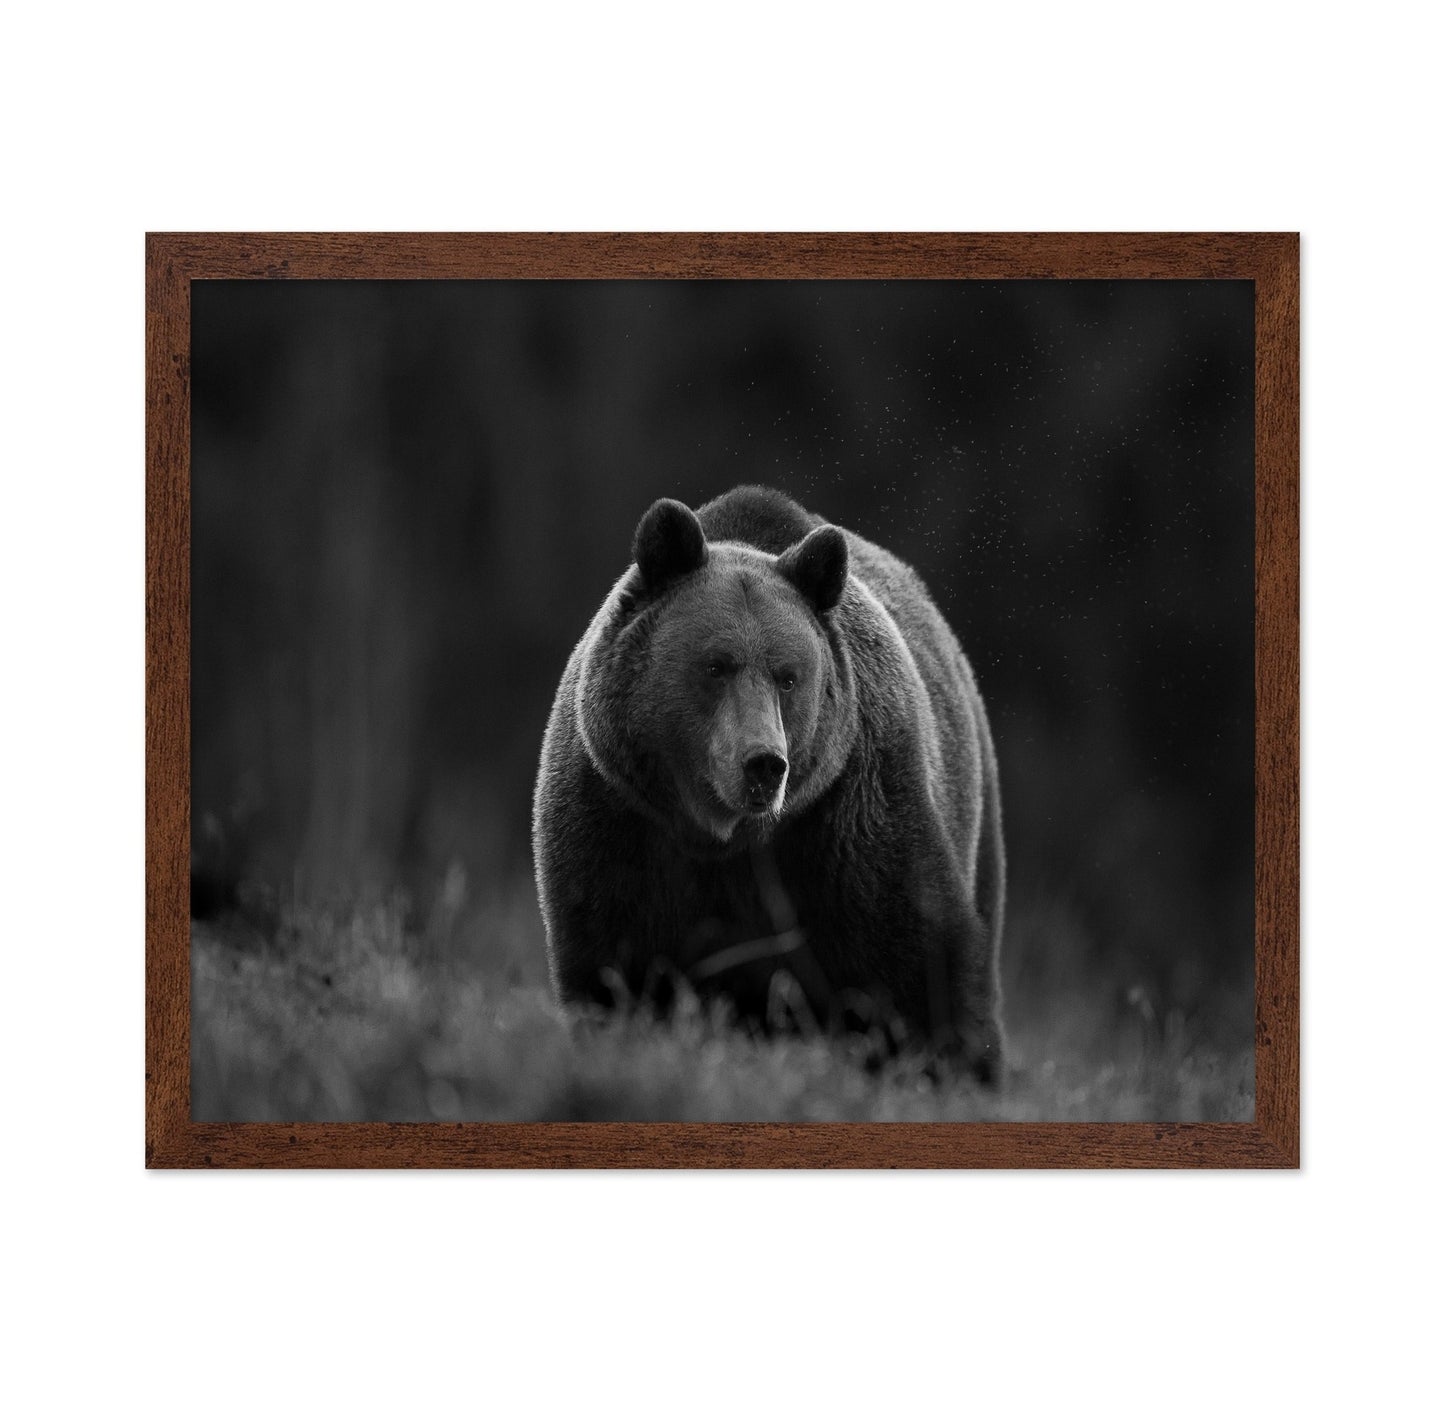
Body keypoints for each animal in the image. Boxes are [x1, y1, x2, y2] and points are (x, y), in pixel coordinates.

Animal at [532, 484, 1005, 1083]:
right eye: (716, 665)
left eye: (788, 676)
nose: (764, 763)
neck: (725, 838)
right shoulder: (618, 823)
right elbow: (615, 973)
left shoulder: (849, 820)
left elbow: (918, 963)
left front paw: (955, 1065)